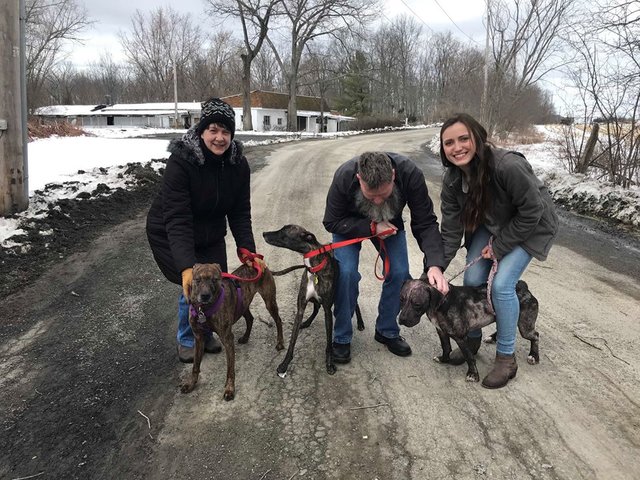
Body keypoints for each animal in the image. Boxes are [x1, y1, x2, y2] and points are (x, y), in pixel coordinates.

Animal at [182, 262, 288, 402]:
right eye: (197, 280)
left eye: (214, 280)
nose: (205, 296)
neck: (203, 309)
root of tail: (257, 264)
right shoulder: (198, 338)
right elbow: (195, 366)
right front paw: (191, 383)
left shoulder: (227, 339)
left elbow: (230, 369)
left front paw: (229, 389)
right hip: (243, 303)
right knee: (250, 318)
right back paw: (245, 337)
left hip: (269, 301)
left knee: (278, 320)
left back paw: (280, 342)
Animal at [400, 278, 540, 382]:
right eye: (401, 299)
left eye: (417, 304)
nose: (401, 320)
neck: (443, 302)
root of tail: (523, 286)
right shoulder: (441, 331)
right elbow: (446, 347)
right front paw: (444, 359)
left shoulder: (461, 337)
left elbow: (469, 357)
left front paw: (473, 374)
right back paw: (492, 338)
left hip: (524, 327)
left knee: (536, 336)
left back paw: (534, 356)